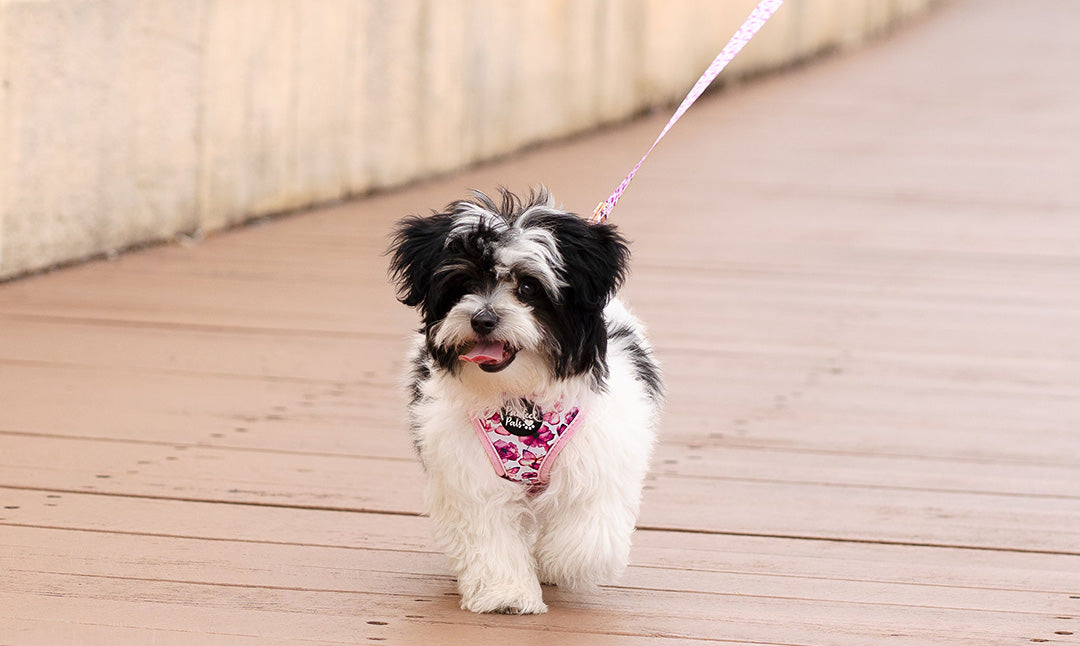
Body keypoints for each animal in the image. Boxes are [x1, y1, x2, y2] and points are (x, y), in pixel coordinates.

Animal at [386, 189, 656, 617]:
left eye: (529, 287)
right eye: (464, 282)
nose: (483, 319)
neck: (521, 397)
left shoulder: (600, 454)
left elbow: (588, 532)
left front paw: (557, 563)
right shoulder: (471, 471)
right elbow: (488, 531)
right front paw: (507, 593)